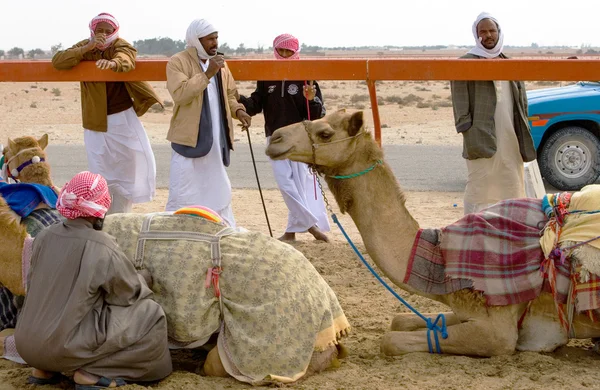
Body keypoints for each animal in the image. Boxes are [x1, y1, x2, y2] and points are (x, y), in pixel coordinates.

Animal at [266, 109, 600, 356]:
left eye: (325, 133)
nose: (275, 137)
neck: (442, 258)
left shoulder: (500, 330)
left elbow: (391, 340)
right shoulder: (465, 310)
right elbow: (401, 321)